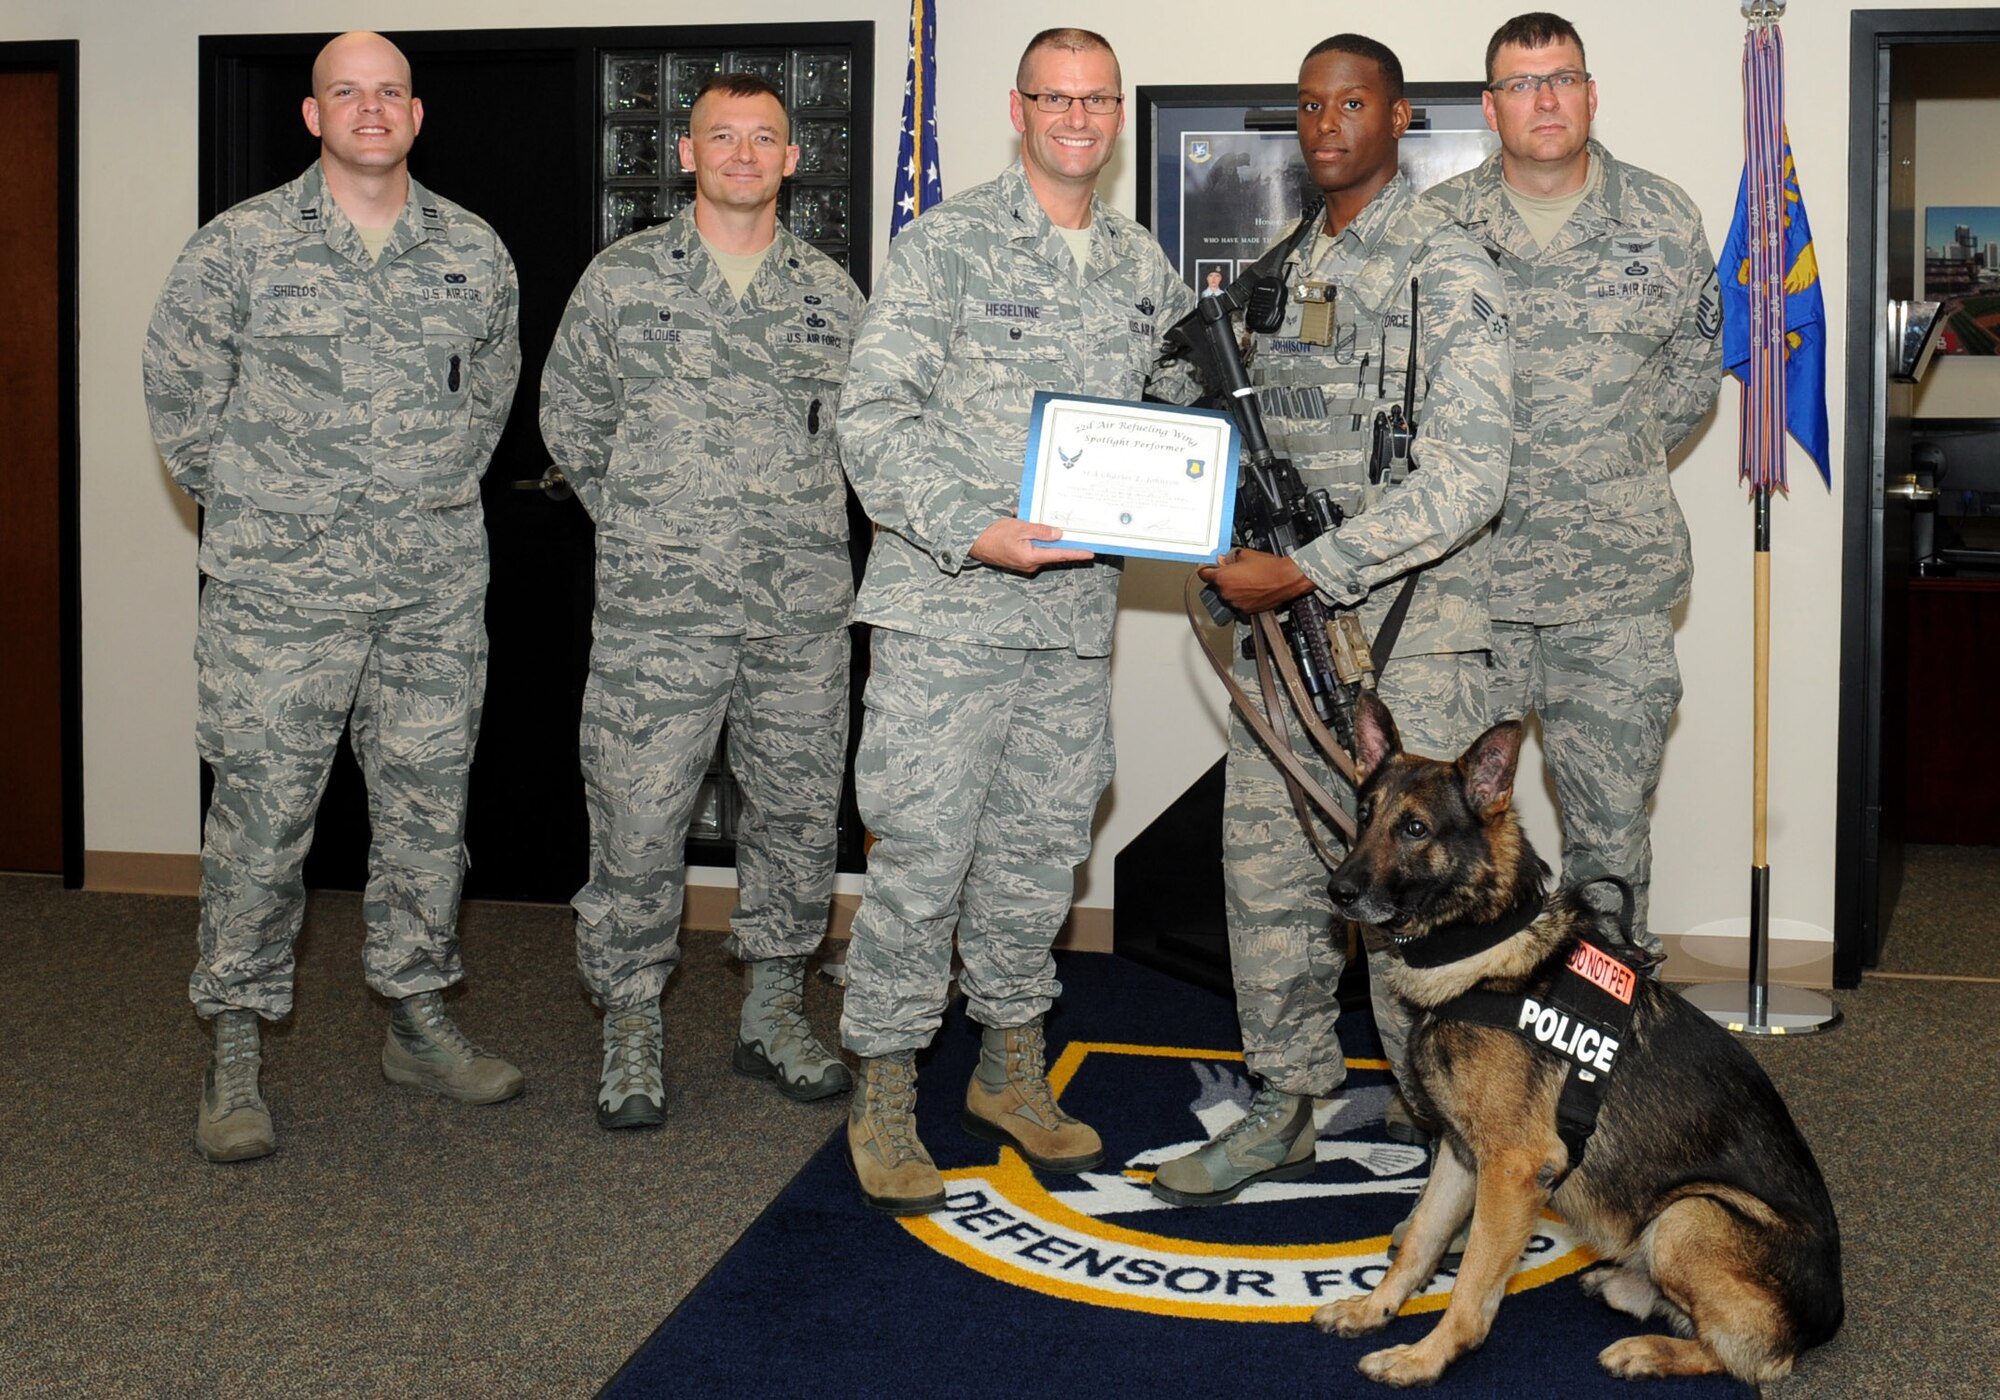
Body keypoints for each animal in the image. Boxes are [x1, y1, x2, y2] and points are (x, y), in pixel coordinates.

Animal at [1312, 696, 1840, 1384]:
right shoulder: (1462, 1155)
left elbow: (1471, 1284)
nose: (1337, 892)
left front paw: (1427, 1357)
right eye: (1364, 816)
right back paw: (1625, 1287)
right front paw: (1374, 1310)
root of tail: (1827, 1319)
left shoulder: (1511, 1170)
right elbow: (1422, 1241)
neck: (1482, 946)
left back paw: (1649, 1350)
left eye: (1416, 829)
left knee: (1743, 1357)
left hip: (1689, 1214)